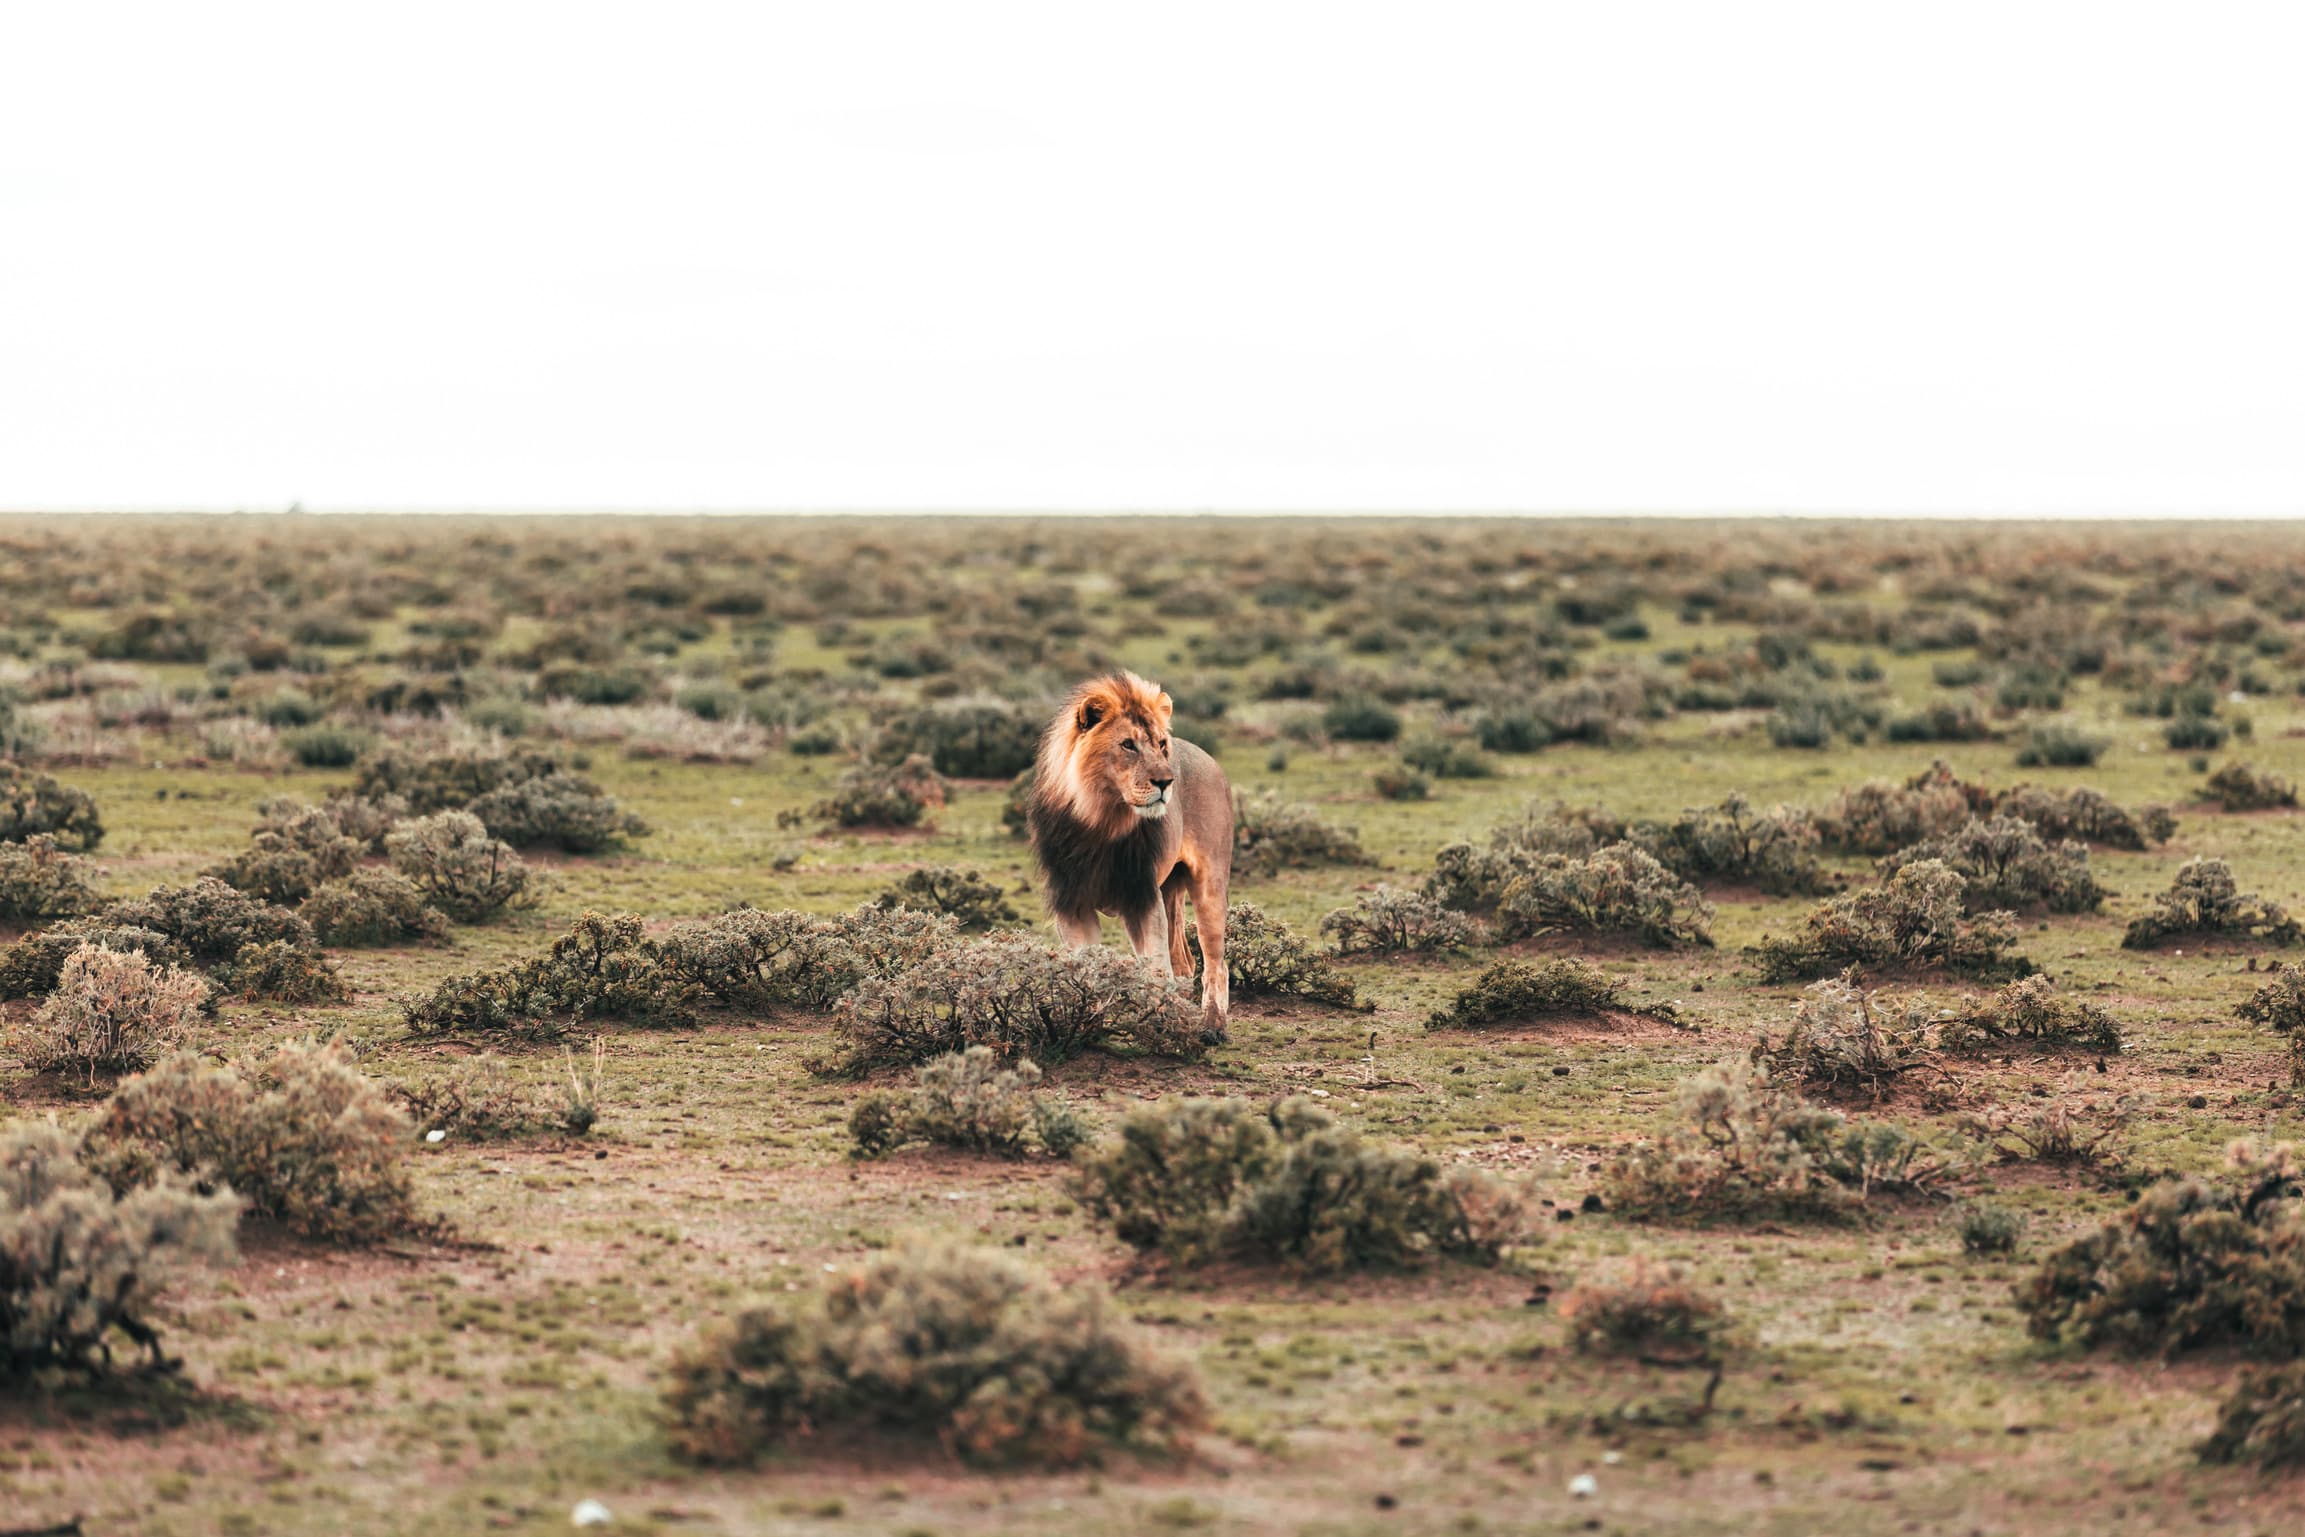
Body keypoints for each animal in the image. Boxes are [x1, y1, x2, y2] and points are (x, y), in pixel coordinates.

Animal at [1025, 671, 1233, 1038]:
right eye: (1128, 745)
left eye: (1161, 745)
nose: (1167, 782)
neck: (1102, 819)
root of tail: (1206, 757)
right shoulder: (1071, 903)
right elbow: (1087, 967)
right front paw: (1087, 1024)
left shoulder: (1141, 895)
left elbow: (1155, 968)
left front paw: (1166, 1027)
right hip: (1170, 887)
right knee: (1184, 961)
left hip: (1210, 883)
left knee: (1215, 963)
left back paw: (1212, 1025)